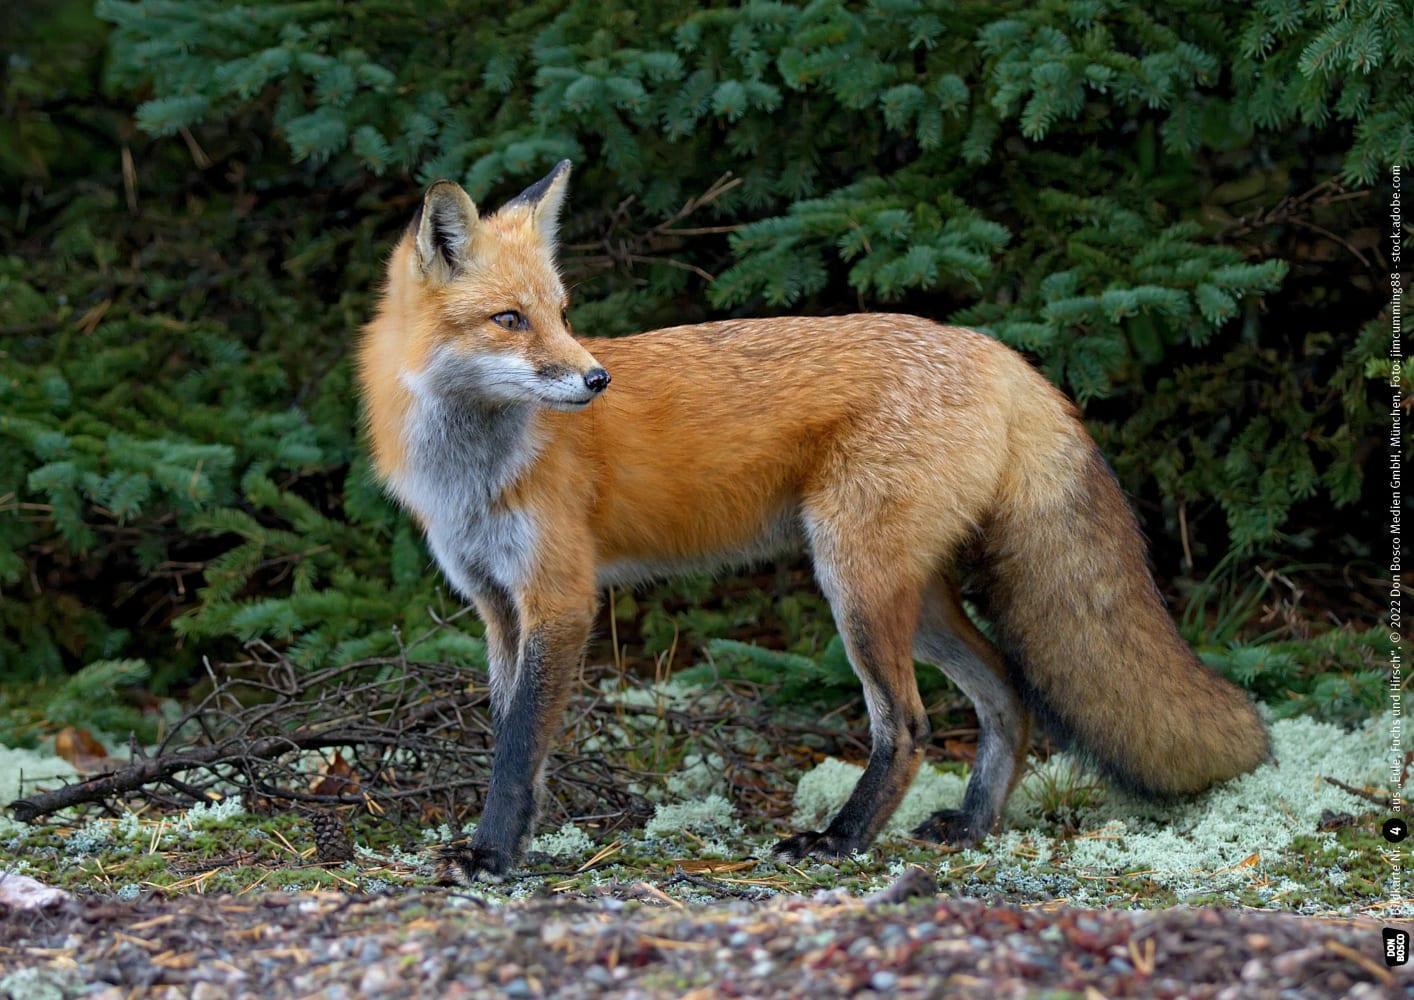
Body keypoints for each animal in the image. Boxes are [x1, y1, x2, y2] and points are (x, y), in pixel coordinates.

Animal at [356, 160, 1272, 882]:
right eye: (511, 319)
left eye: (562, 312)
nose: (595, 379)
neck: (470, 472)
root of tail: (998, 351)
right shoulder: (499, 608)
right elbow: (520, 739)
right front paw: (516, 841)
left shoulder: (561, 599)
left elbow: (515, 747)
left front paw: (489, 856)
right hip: (909, 595)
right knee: (1007, 693)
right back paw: (972, 825)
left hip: (855, 586)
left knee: (908, 725)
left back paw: (839, 841)